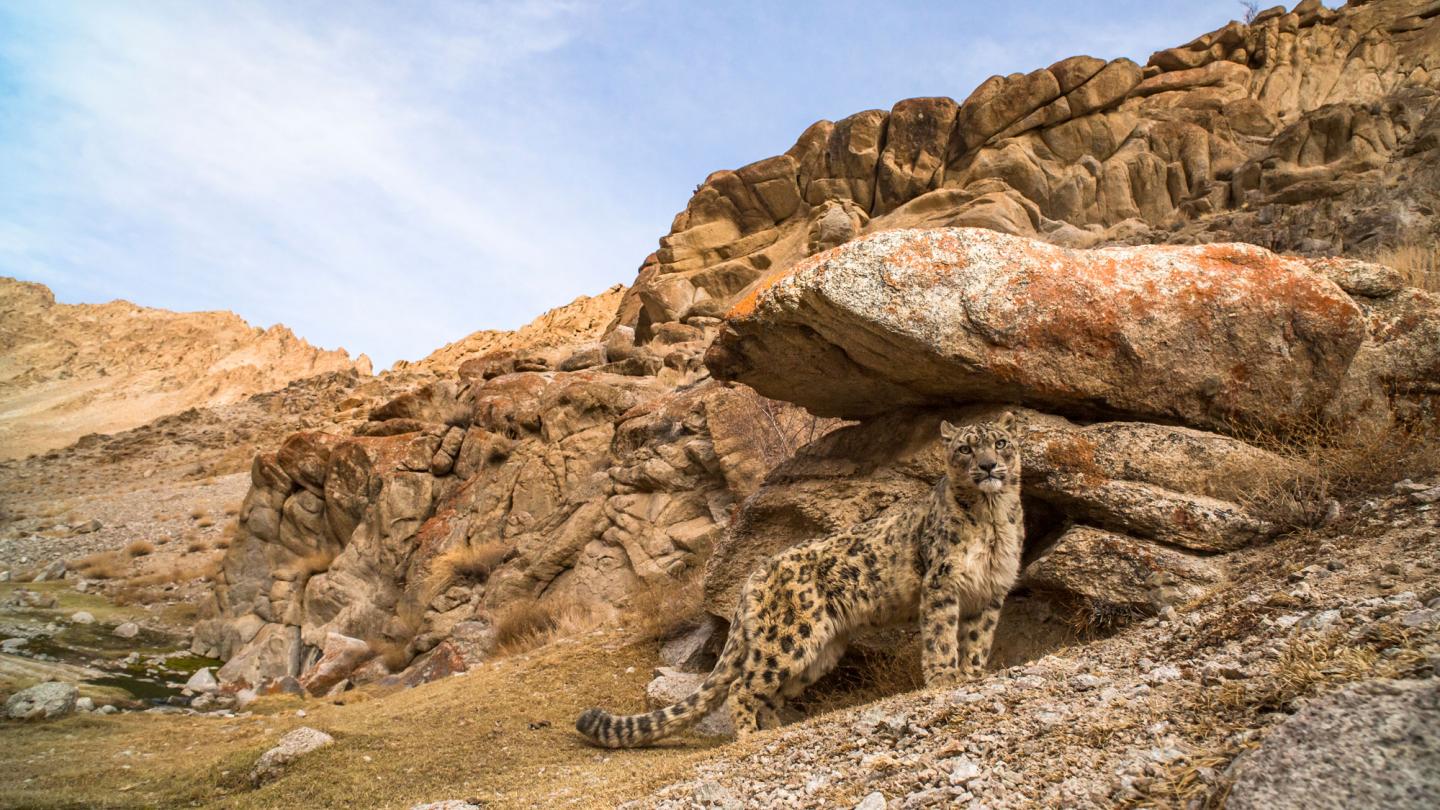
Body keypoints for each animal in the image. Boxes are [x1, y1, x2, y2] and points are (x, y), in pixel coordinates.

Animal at [576, 411, 1024, 748]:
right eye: (965, 447)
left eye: (1001, 442)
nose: (987, 465)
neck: (991, 517)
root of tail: (755, 574)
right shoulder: (942, 584)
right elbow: (941, 637)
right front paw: (946, 678)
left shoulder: (990, 591)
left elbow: (977, 640)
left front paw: (973, 674)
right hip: (789, 637)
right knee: (743, 687)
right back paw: (750, 736)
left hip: (817, 652)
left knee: (770, 694)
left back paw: (778, 728)